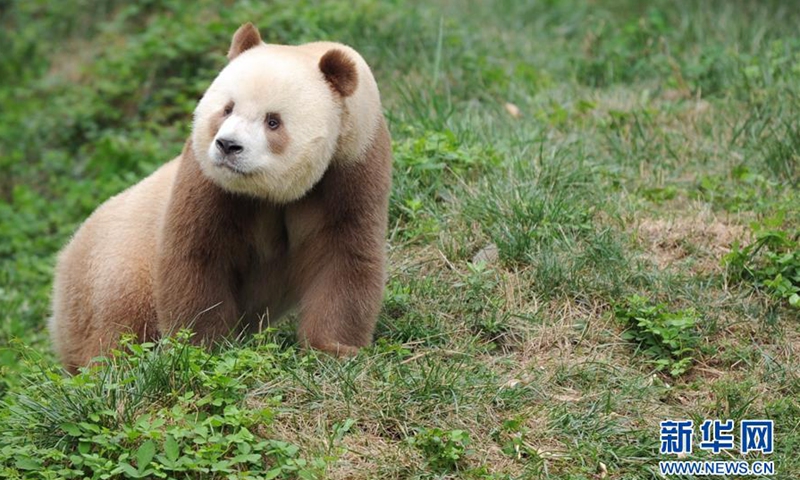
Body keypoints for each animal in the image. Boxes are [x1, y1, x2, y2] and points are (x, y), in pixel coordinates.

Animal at [48, 24, 392, 374]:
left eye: (273, 121)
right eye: (227, 108)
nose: (228, 145)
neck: (271, 193)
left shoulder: (351, 167)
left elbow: (343, 255)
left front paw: (335, 349)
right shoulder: (207, 180)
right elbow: (198, 257)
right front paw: (203, 350)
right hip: (116, 266)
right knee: (118, 325)